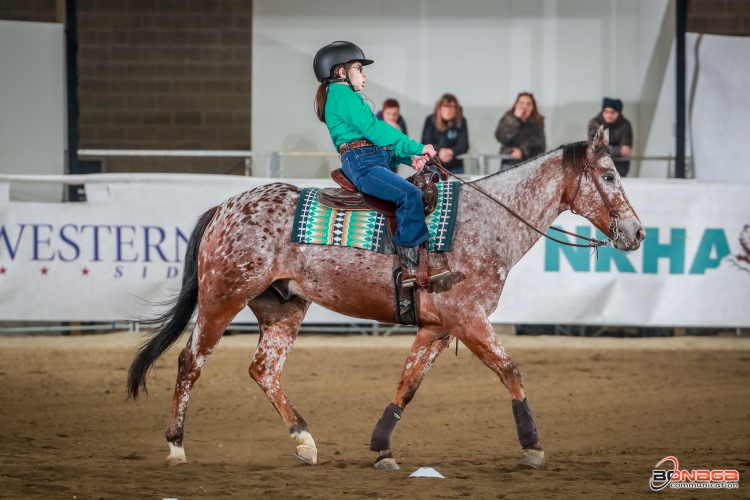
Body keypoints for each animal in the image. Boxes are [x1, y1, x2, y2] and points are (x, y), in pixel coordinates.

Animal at [129, 127, 648, 470]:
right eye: (608, 176)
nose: (637, 232)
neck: (486, 221)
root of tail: (225, 207)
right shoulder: (468, 318)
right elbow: (510, 370)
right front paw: (533, 445)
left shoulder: (437, 327)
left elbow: (407, 385)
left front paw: (382, 448)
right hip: (223, 297)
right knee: (190, 362)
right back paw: (176, 445)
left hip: (283, 308)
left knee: (264, 371)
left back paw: (304, 441)